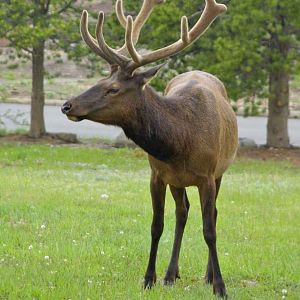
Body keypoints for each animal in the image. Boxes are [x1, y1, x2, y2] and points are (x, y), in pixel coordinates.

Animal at [62, 0, 238, 296]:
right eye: (98, 81)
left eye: (113, 89)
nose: (67, 105)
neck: (180, 142)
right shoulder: (157, 175)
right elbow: (157, 225)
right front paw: (148, 279)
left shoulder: (207, 175)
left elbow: (209, 230)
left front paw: (220, 286)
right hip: (178, 182)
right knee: (182, 212)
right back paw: (171, 274)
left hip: (220, 172)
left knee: (211, 213)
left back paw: (206, 275)